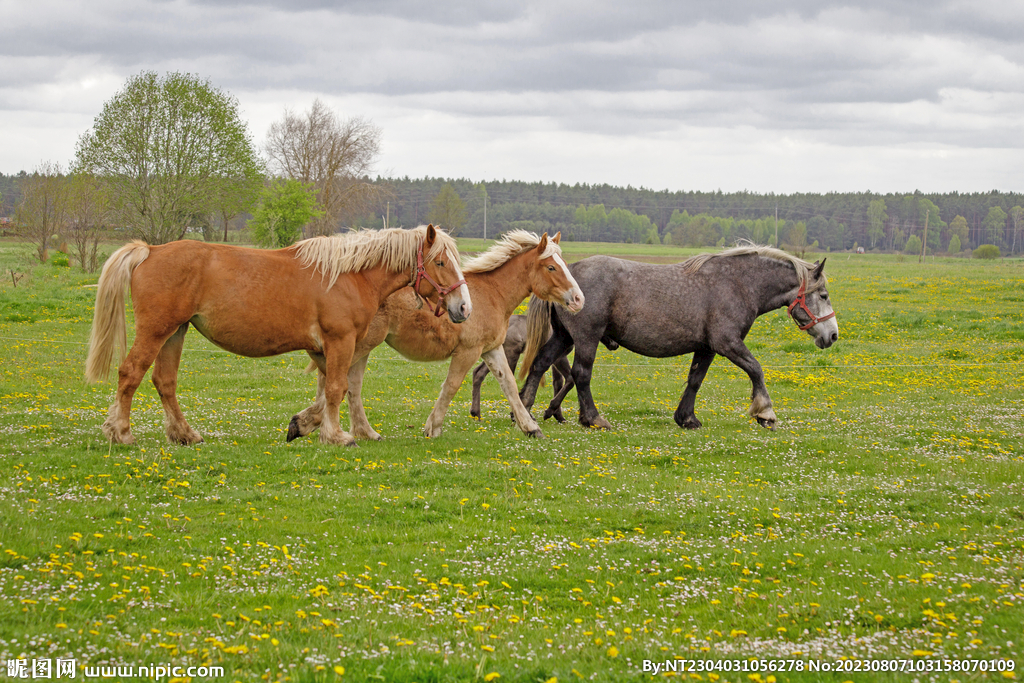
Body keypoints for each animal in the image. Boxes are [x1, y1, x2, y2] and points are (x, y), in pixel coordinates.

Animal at [85, 224, 470, 447]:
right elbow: (336, 389)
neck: (349, 275)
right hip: (156, 331)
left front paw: (306, 426)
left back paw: (185, 434)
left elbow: (329, 391)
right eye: (440, 262)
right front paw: (337, 436)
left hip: (174, 333)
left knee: (164, 382)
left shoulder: (323, 350)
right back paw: (121, 432)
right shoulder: (340, 341)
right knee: (130, 374)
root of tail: (150, 250)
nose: (463, 307)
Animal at [285, 230, 584, 441]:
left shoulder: (492, 350)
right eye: (551, 267)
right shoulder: (467, 352)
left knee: (342, 383)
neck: (492, 294)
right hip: (359, 345)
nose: (579, 299)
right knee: (336, 381)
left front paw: (530, 427)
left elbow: (509, 385)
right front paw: (433, 427)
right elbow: (451, 386)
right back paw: (314, 424)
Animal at [518, 243, 838, 430]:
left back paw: (525, 409)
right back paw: (592, 419)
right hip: (586, 337)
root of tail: (568, 274)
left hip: (564, 337)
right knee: (581, 374)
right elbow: (756, 370)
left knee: (540, 363)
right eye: (823, 295)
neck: (737, 283)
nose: (833, 335)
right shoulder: (727, 343)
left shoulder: (707, 347)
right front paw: (765, 413)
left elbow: (695, 380)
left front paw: (686, 418)